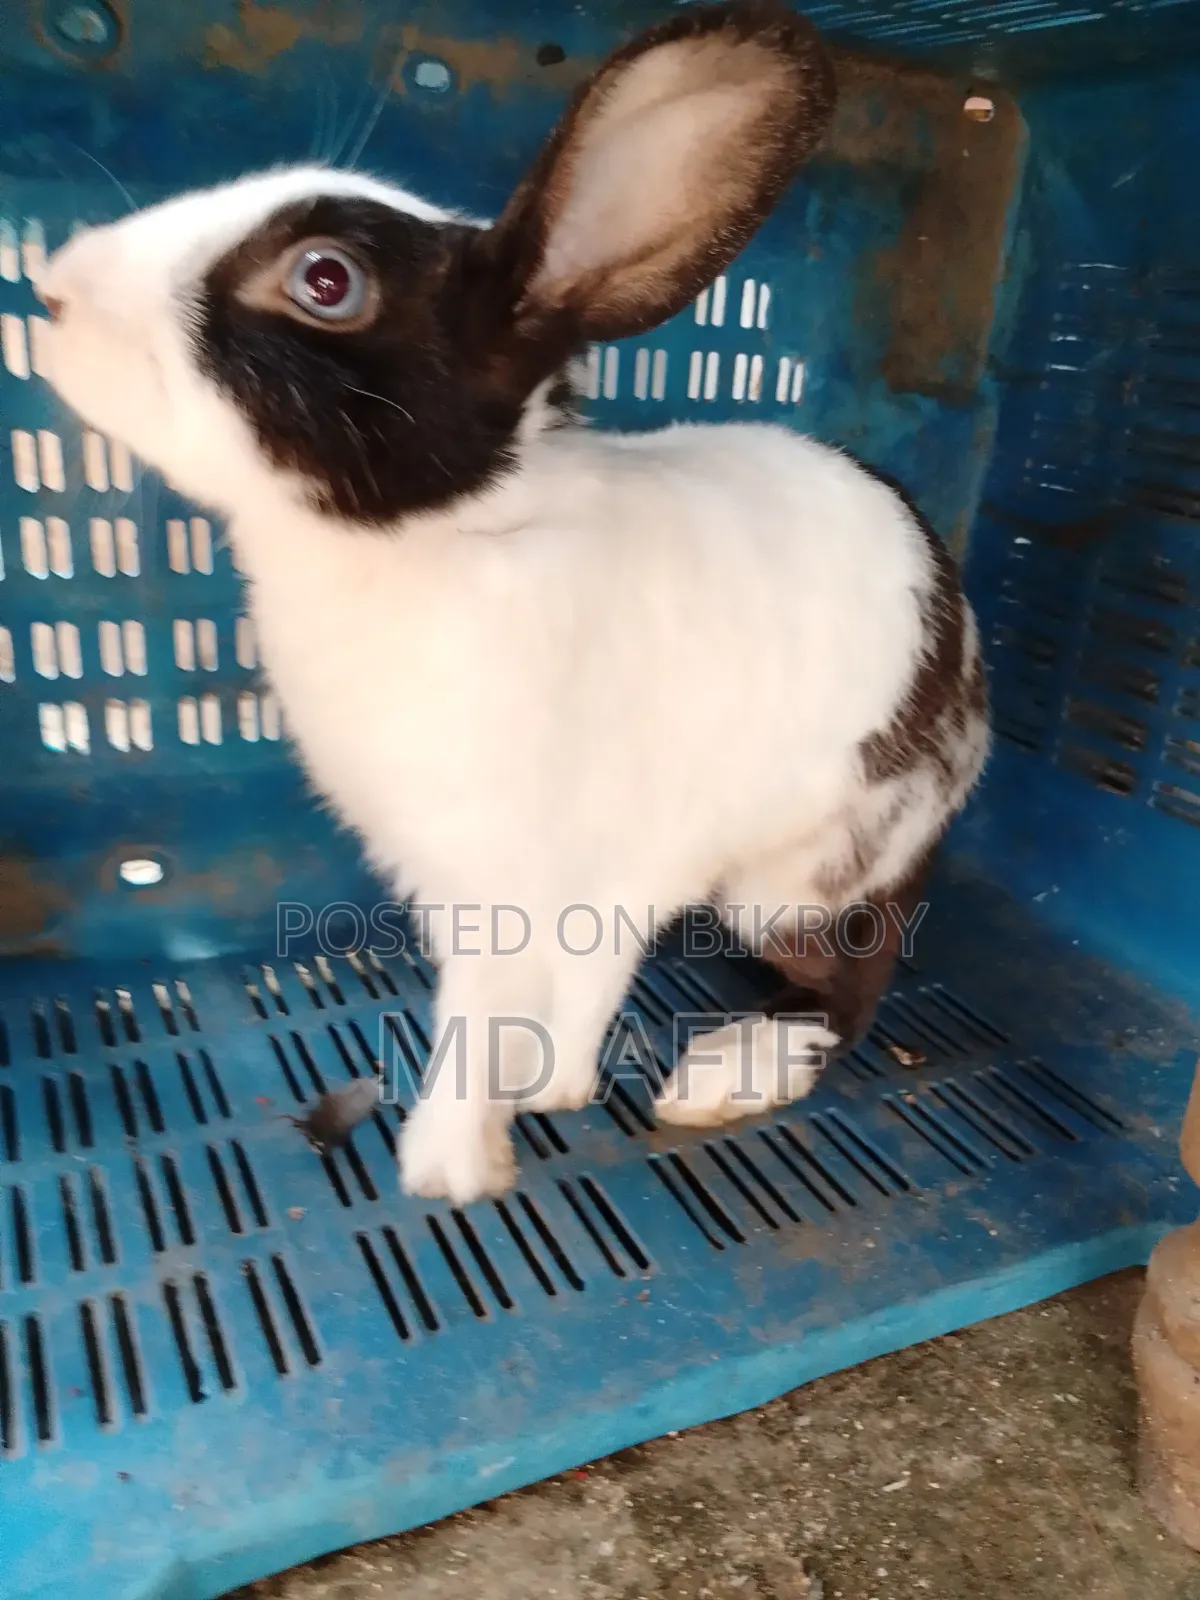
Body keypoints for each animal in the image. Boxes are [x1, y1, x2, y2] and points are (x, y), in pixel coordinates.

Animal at [37, 0, 988, 1205]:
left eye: (325, 280)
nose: (50, 288)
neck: (447, 539)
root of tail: (971, 663)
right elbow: (533, 1002)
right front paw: (526, 1106)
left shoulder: (570, 869)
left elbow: (504, 1004)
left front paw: (451, 1165)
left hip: (804, 875)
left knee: (855, 979)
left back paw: (726, 1075)